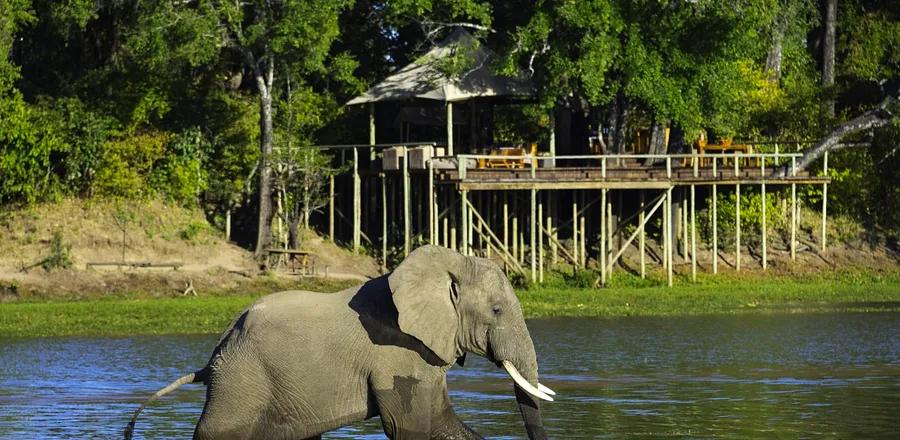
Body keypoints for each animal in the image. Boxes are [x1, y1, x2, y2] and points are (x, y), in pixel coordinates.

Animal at [123, 246, 552, 438]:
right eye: (496, 310)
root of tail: (213, 354)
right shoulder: (395, 355)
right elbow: (408, 427)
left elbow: (441, 421)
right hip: (240, 381)